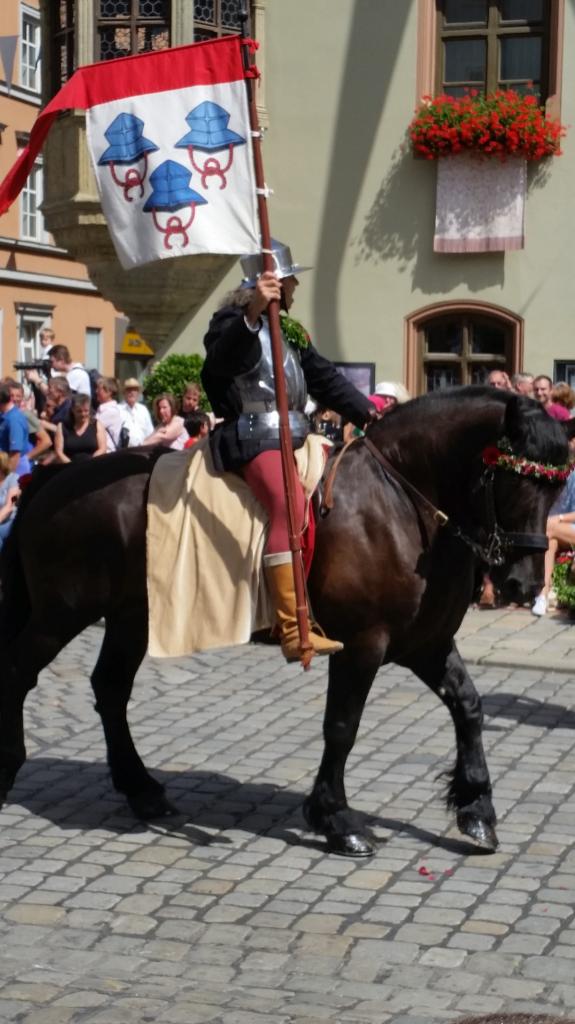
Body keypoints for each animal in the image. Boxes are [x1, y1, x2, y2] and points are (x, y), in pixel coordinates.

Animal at [0, 389, 564, 856]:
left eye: (554, 491)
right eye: (514, 477)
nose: (523, 585)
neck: (401, 505)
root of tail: (53, 479)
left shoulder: (425, 644)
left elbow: (469, 707)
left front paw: (477, 808)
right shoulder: (364, 645)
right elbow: (342, 727)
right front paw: (336, 818)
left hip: (130, 618)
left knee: (110, 690)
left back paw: (142, 790)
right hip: (61, 614)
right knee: (21, 675)